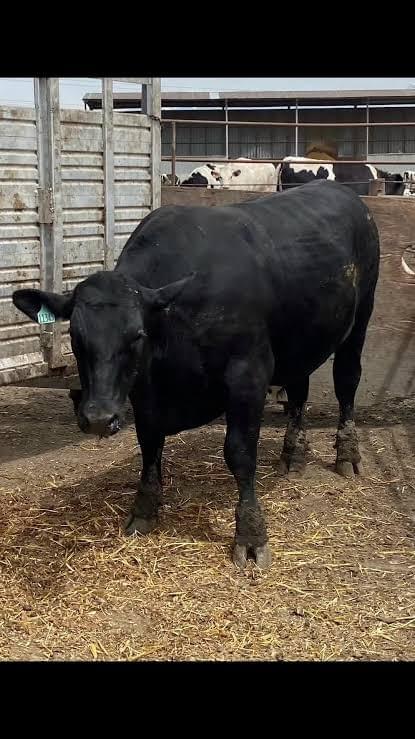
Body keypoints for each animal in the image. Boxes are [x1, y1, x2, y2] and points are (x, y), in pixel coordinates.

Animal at [12, 179, 379, 570]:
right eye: (75, 336)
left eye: (136, 335)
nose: (98, 417)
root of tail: (338, 189)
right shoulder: (145, 393)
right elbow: (149, 445)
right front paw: (144, 510)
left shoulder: (248, 375)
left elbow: (240, 453)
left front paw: (251, 534)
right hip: (300, 340)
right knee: (298, 389)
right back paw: (293, 455)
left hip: (361, 317)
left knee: (347, 381)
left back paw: (347, 453)